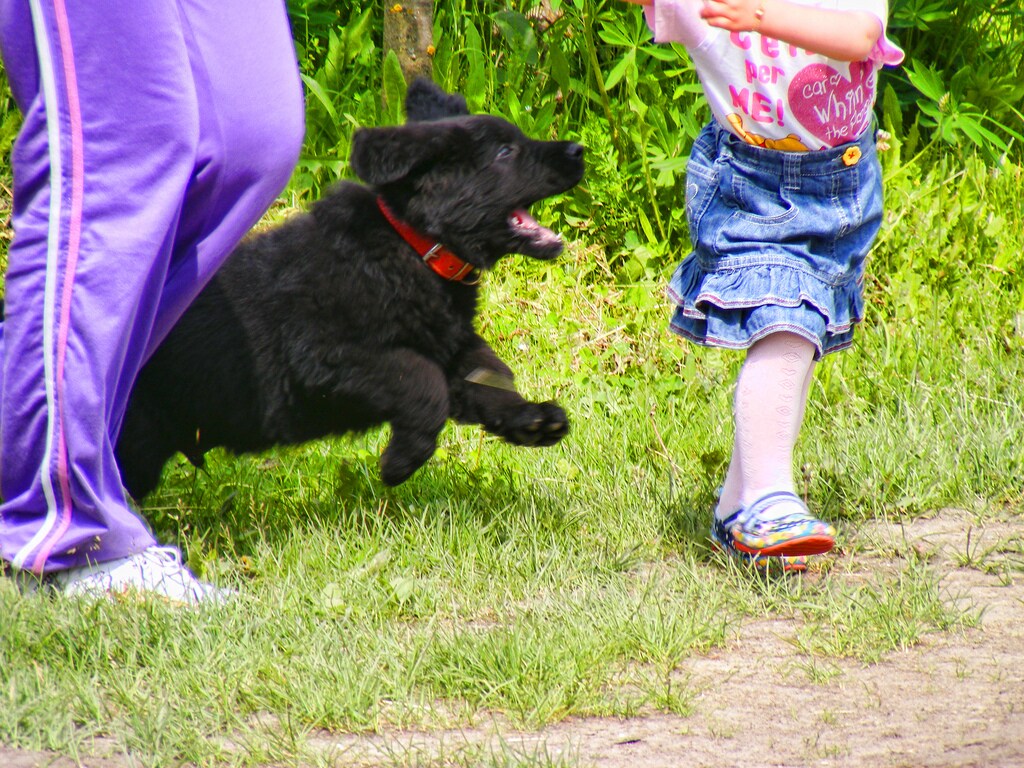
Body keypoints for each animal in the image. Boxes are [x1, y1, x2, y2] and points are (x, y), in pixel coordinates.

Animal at [114, 79, 585, 499]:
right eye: (507, 152)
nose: (579, 150)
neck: (413, 246)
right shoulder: (328, 355)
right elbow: (423, 381)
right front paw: (401, 462)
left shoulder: (447, 341)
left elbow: (490, 374)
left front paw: (531, 418)